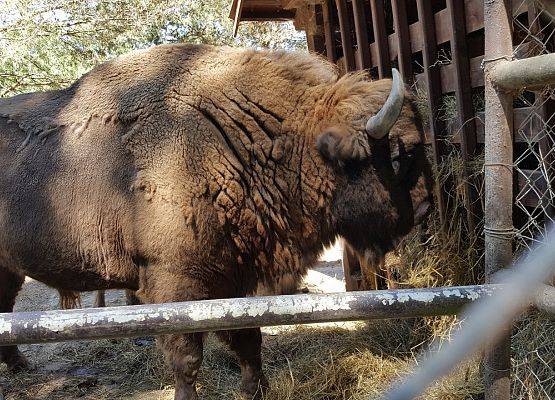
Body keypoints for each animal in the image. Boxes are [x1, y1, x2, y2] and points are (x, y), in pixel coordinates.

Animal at [0, 42, 432, 398]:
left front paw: (257, 391)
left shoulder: (236, 279)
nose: (426, 208)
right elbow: (188, 357)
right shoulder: (174, 283)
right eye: (401, 154)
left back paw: (19, 364)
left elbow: (248, 339)